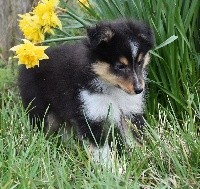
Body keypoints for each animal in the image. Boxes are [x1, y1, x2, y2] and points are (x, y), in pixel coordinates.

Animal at [18, 19, 153, 165]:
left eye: (140, 62)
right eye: (120, 66)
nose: (139, 89)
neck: (113, 89)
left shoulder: (129, 113)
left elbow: (134, 138)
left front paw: (141, 160)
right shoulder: (91, 113)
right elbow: (101, 150)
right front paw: (110, 169)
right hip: (39, 108)